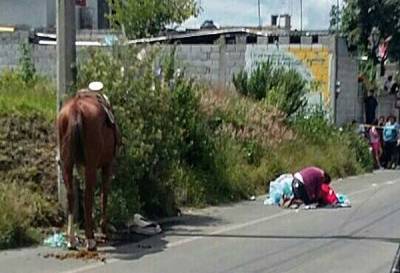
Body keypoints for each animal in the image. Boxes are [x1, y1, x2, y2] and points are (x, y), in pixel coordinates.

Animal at [57, 90, 118, 250]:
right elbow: (104, 194)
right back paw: (90, 240)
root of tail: (75, 110)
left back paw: (72, 240)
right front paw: (103, 230)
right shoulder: (108, 164)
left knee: (71, 195)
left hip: (67, 163)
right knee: (88, 196)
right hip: (91, 164)